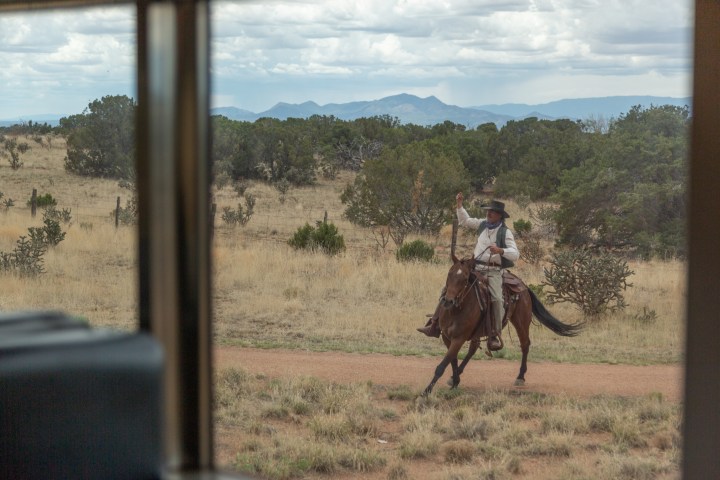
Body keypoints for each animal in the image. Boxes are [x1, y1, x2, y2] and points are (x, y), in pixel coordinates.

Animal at [422, 253, 584, 396]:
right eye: (449, 274)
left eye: (465, 278)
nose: (448, 301)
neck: (456, 310)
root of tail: (523, 285)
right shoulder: (447, 337)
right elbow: (452, 361)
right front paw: (455, 381)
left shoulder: (459, 338)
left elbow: (443, 365)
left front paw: (427, 391)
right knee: (473, 348)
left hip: (521, 322)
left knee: (525, 344)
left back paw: (520, 376)